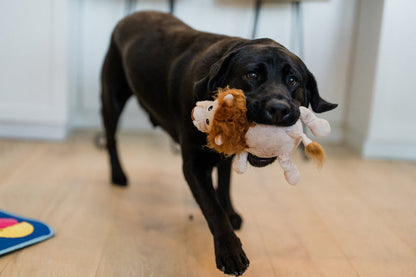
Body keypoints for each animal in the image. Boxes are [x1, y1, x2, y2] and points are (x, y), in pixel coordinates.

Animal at [101, 10, 338, 274]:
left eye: (293, 80)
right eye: (251, 75)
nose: (278, 109)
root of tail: (132, 15)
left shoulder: (226, 156)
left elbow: (224, 186)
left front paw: (230, 211)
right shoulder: (193, 165)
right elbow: (213, 210)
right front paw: (229, 250)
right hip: (112, 98)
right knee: (111, 139)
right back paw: (118, 174)